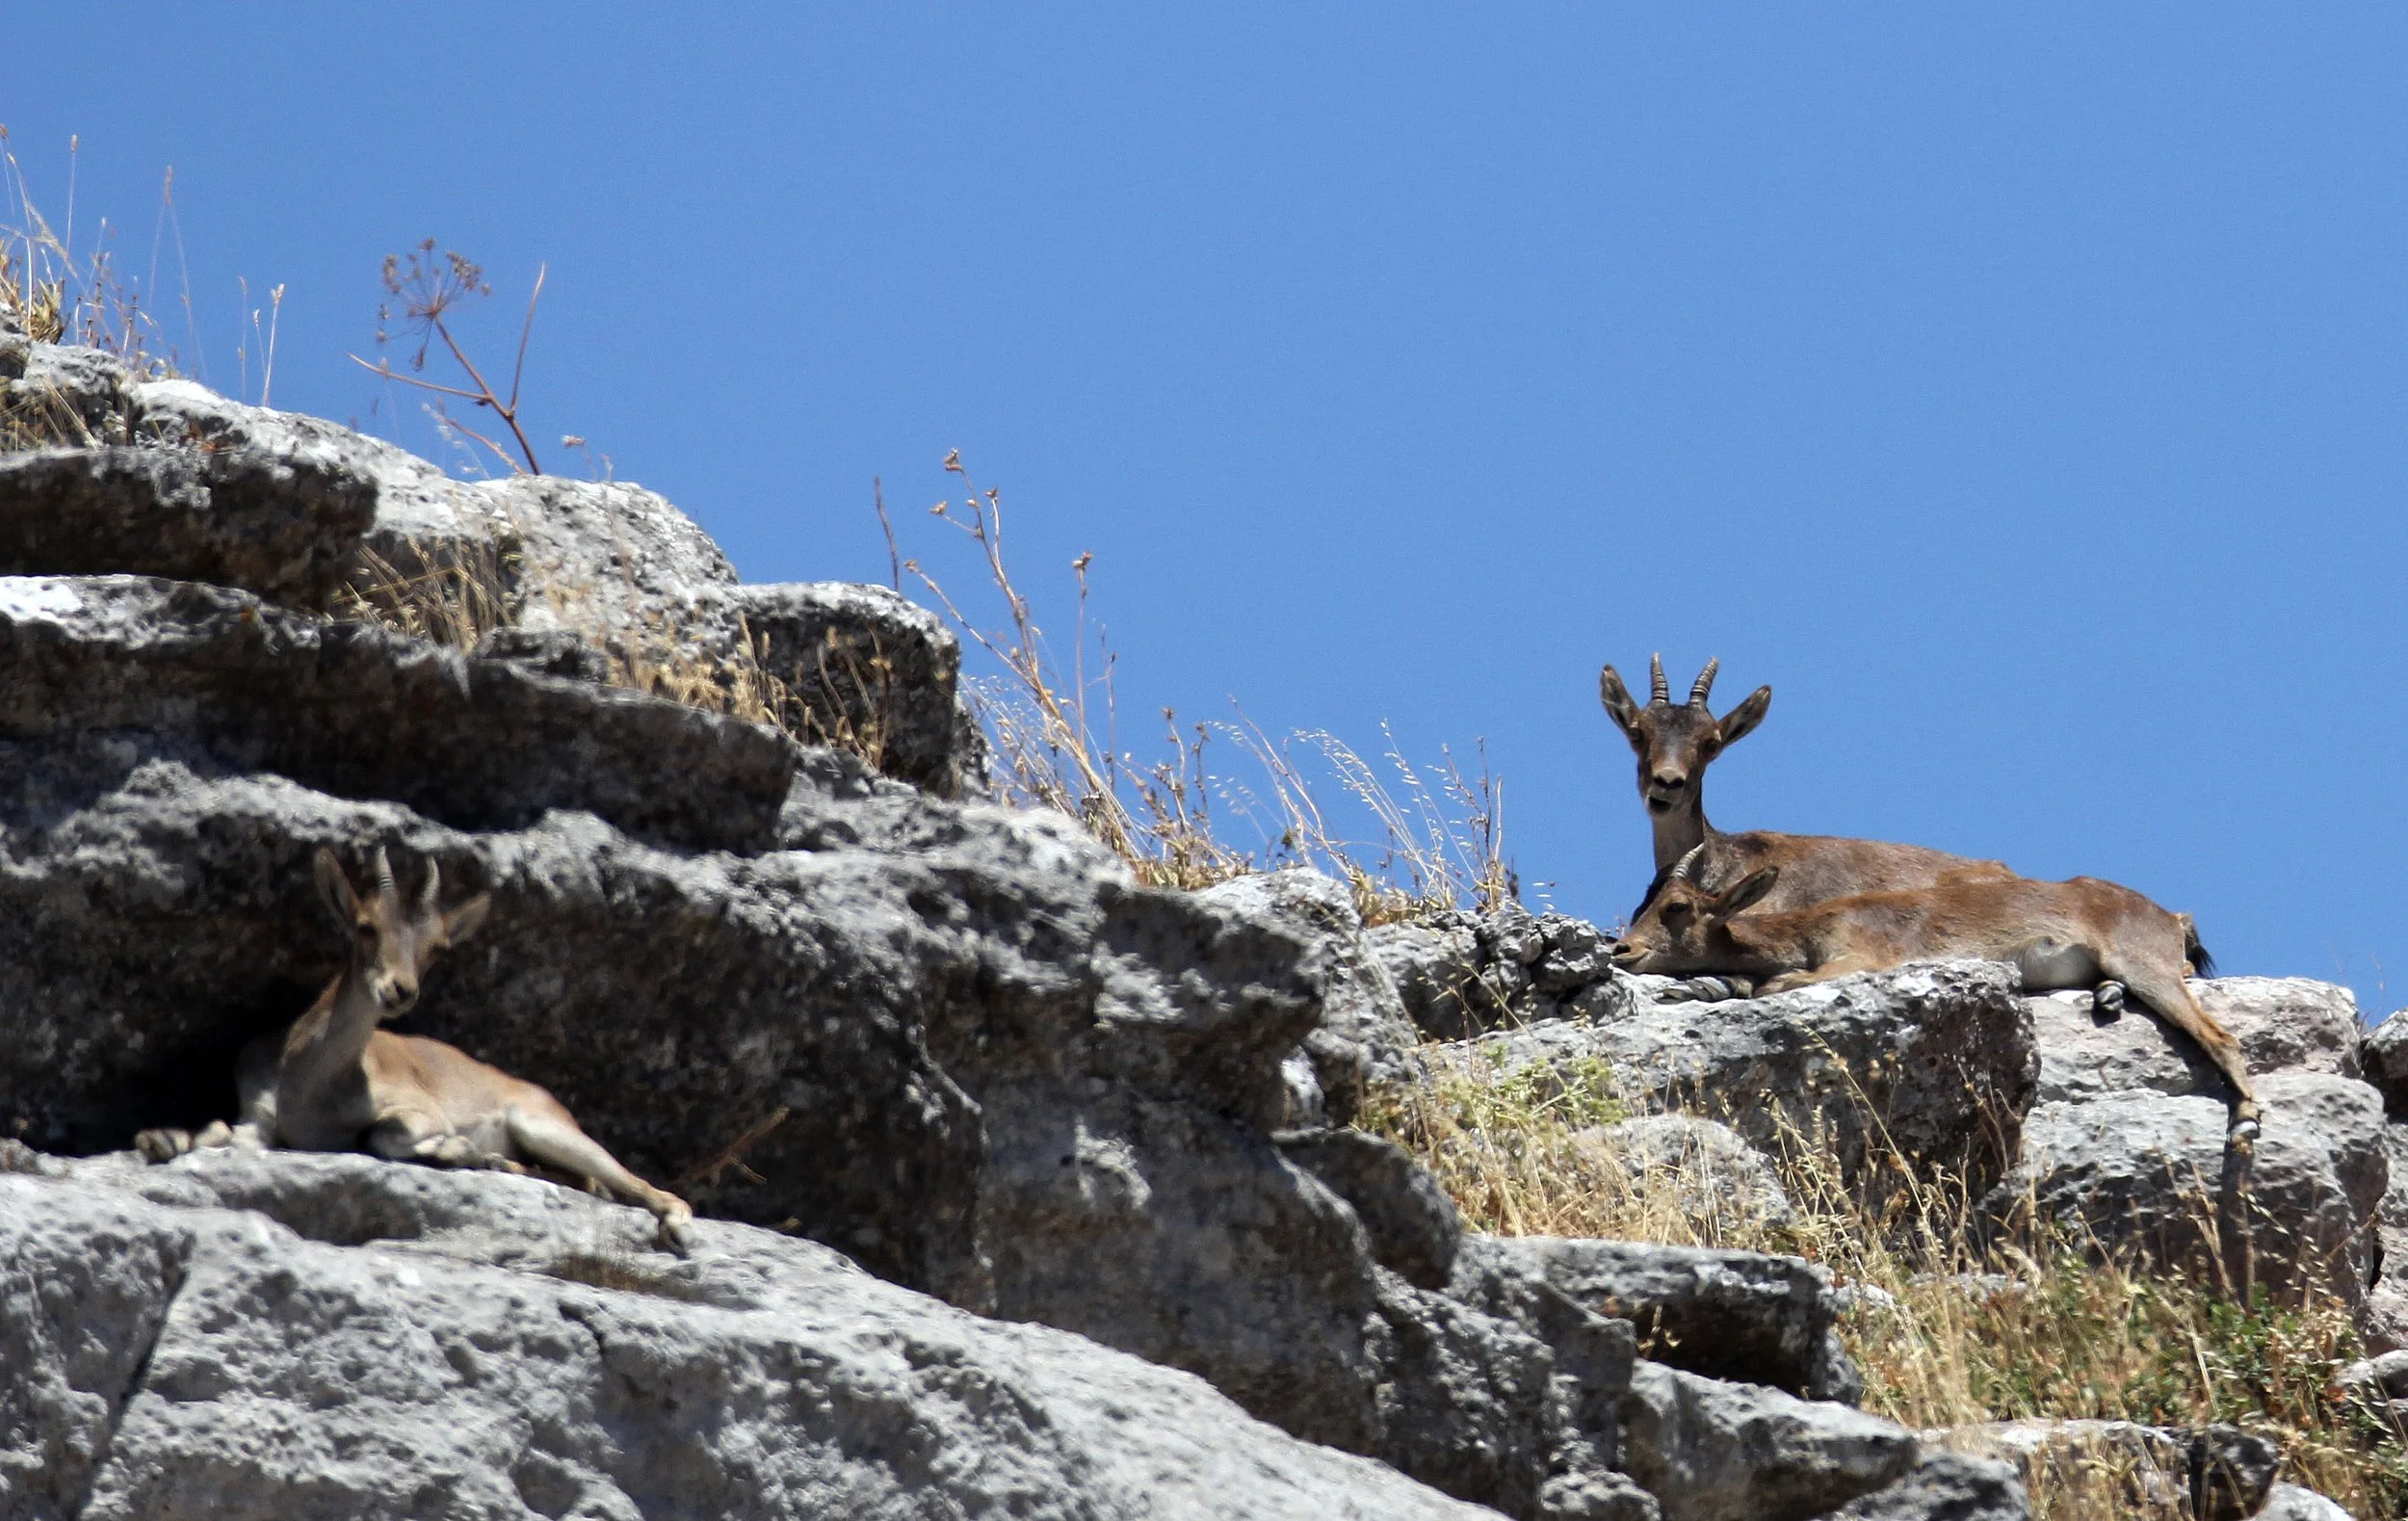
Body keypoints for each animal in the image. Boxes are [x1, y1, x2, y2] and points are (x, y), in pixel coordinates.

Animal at [137, 847, 694, 1250]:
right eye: (366, 926)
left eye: (437, 947)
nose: (400, 990)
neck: (308, 1085)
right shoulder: (259, 1118)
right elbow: (218, 1131)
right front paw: (161, 1139)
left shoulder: (419, 1109)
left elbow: (381, 1135)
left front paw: (457, 1148)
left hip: (543, 1127)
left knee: (637, 1185)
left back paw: (674, 1225)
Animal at [1606, 850, 2259, 1138]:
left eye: (1677, 908)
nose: (1622, 951)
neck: (1810, 927)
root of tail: (2172, 918)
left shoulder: (1863, 957)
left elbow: (1775, 983)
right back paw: (2107, 999)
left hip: (2148, 963)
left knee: (2219, 1034)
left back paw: (2247, 1120)